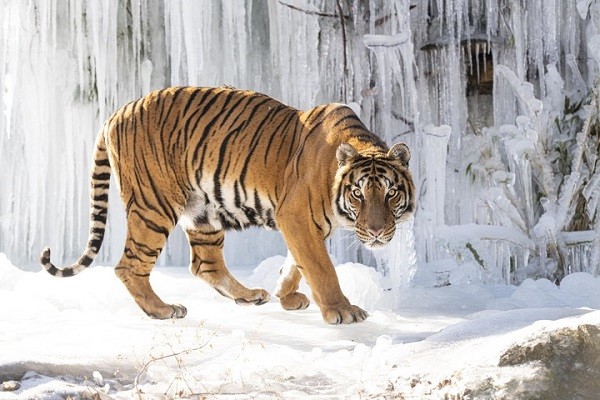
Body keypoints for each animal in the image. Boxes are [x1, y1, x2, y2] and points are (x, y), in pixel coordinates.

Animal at [39, 86, 414, 324]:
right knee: (129, 265)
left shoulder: (305, 224)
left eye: (390, 194)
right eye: (358, 194)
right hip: (153, 206)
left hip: (202, 211)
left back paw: (249, 295)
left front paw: (285, 294)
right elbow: (320, 266)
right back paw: (162, 310)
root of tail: (116, 111)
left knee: (205, 265)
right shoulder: (295, 215)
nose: (377, 231)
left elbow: (296, 262)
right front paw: (342, 311)